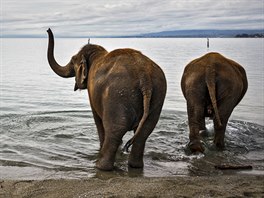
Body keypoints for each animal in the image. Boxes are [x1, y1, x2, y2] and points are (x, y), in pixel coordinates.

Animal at [46, 28, 166, 171]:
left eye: (73, 60)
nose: (48, 29)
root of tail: (144, 77)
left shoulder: (92, 92)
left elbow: (97, 119)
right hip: (157, 95)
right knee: (144, 132)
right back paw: (135, 166)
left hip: (118, 96)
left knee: (115, 130)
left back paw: (100, 166)